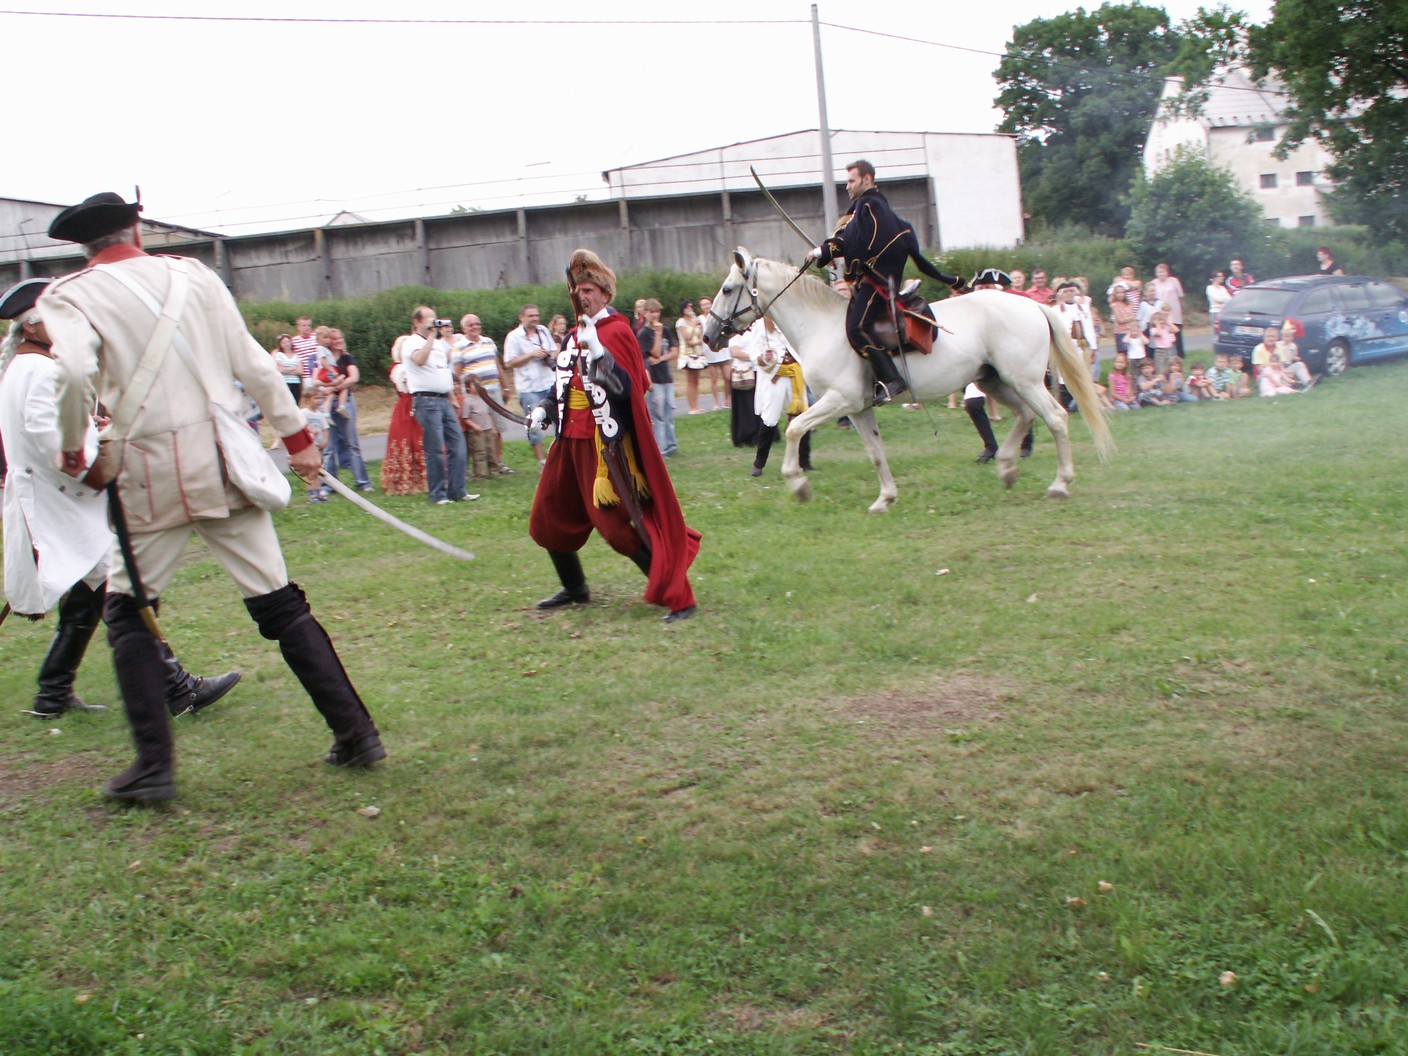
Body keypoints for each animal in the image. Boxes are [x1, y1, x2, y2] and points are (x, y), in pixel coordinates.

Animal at [701, 247, 1109, 512]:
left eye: (727, 289)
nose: (707, 336)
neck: (822, 326)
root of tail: (1033, 305)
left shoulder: (839, 401)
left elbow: (794, 429)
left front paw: (798, 484)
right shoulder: (859, 408)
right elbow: (876, 453)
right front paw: (885, 498)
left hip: (1024, 381)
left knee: (1055, 417)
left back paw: (1059, 484)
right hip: (996, 381)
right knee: (1025, 416)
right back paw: (1007, 468)